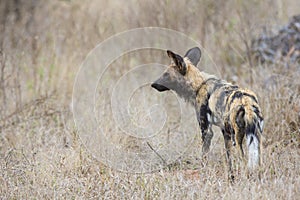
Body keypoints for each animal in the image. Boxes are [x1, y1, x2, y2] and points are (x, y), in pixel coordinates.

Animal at [151, 47, 264, 180]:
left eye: (166, 74)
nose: (153, 84)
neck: (198, 85)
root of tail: (246, 101)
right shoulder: (225, 132)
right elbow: (229, 159)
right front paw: (231, 178)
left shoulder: (206, 130)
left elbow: (204, 157)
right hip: (255, 137)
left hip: (238, 139)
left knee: (244, 161)